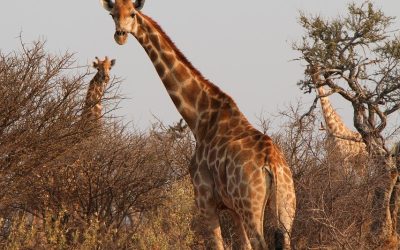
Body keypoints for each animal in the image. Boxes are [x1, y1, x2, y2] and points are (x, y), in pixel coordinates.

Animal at [99, 0, 296, 249]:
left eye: (132, 14)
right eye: (113, 15)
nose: (120, 35)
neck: (199, 118)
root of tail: (272, 163)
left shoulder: (205, 200)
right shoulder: (232, 207)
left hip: (250, 204)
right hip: (285, 204)